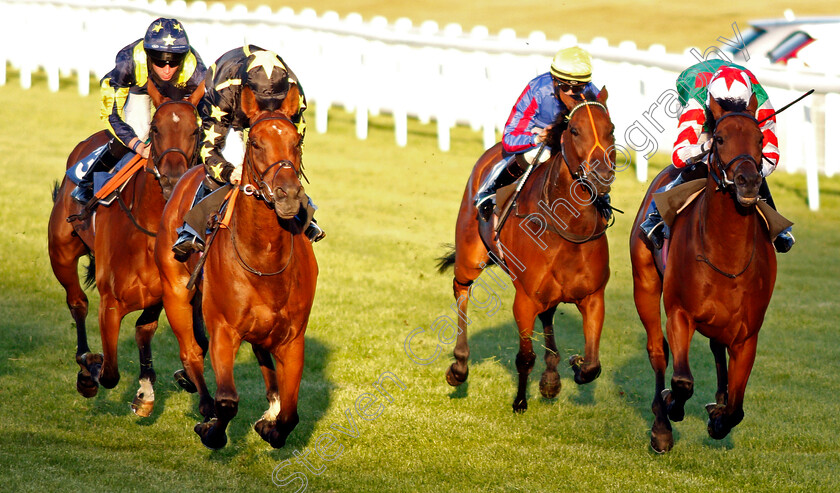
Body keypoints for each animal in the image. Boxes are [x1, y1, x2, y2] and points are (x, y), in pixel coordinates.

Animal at [47, 85, 203, 416]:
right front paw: (90, 370)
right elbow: (109, 374)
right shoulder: (110, 304)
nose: (172, 179)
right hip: (61, 253)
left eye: (195, 130)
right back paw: (84, 361)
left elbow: (144, 331)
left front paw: (145, 391)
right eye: (155, 129)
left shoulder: (163, 294)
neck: (146, 230)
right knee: (77, 302)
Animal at [155, 85, 318, 450]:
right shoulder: (223, 330)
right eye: (255, 142)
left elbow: (291, 414)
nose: (288, 196)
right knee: (191, 352)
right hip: (175, 293)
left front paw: (272, 425)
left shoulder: (292, 339)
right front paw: (212, 429)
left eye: (296, 141)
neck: (264, 258)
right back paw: (204, 406)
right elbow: (227, 400)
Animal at [440, 88, 616, 412]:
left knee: (548, 315)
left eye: (610, 128)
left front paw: (572, 365)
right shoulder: (525, 300)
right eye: (574, 130)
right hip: (470, 256)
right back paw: (459, 366)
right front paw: (520, 400)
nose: (601, 175)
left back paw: (551, 375)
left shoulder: (593, 297)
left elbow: (592, 366)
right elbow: (524, 356)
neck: (569, 228)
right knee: (461, 290)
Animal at [632, 94, 776, 452]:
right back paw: (661, 426)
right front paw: (671, 405)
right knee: (658, 350)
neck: (727, 254)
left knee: (716, 349)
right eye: (720, 138)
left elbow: (737, 408)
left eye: (760, 139)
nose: (748, 182)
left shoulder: (747, 334)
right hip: (645, 283)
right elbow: (682, 381)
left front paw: (719, 417)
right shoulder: (680, 313)